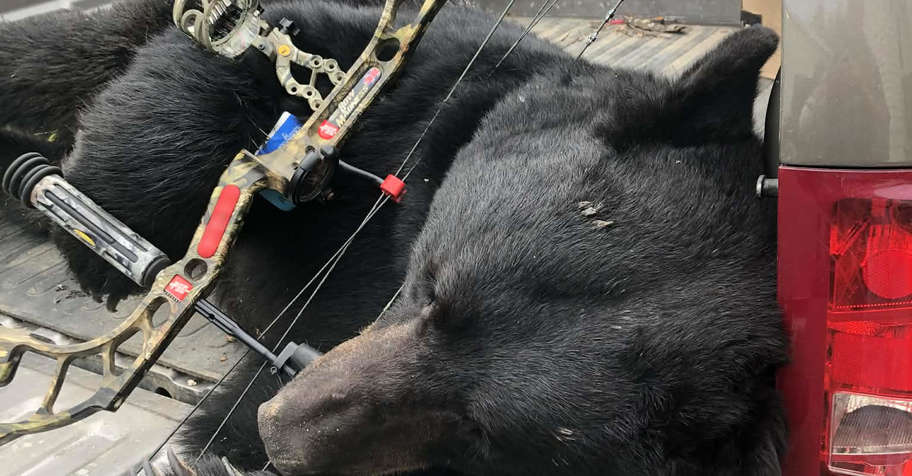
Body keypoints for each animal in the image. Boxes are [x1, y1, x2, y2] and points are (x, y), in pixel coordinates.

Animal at [0, 0, 786, 474]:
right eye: (432, 284)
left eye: (484, 430)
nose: (281, 429)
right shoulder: (408, 80)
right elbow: (225, 81)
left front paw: (214, 444)